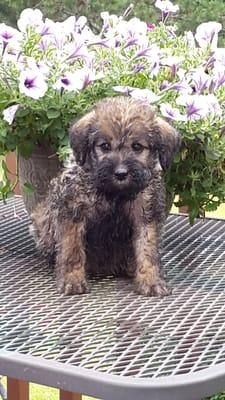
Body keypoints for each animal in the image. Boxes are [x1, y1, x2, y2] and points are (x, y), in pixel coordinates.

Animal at [30, 96, 181, 296]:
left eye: (137, 147)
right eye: (105, 146)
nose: (121, 173)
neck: (114, 193)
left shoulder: (146, 215)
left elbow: (148, 250)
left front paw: (151, 280)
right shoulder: (73, 212)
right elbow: (72, 250)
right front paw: (72, 280)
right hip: (42, 220)